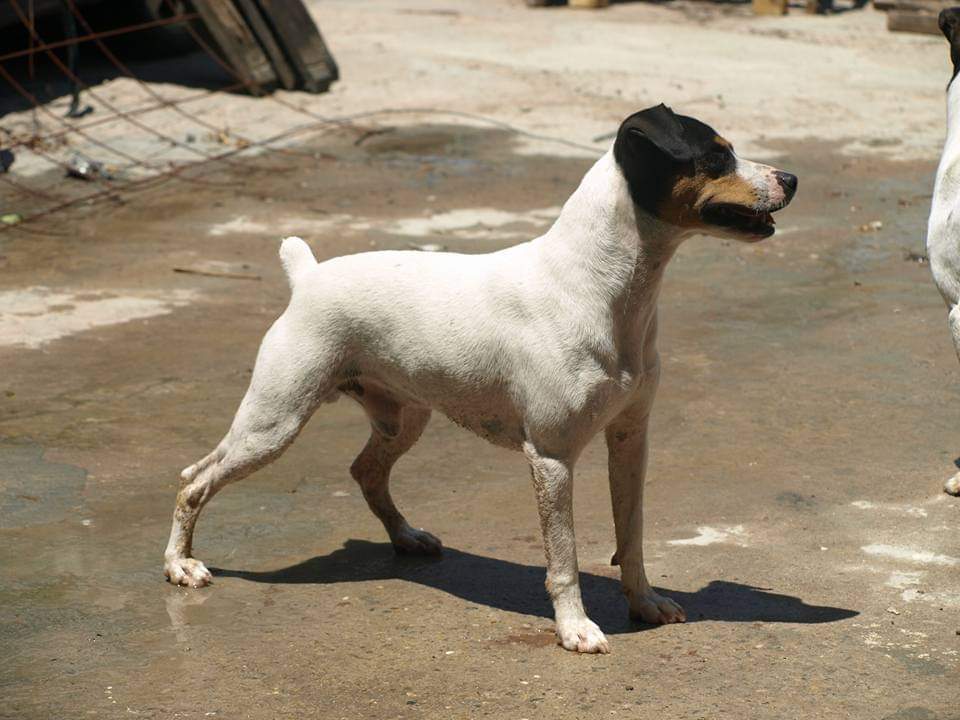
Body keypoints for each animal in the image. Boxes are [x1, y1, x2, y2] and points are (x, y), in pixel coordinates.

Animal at [163, 105, 796, 652]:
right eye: (715, 156)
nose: (791, 178)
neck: (595, 286)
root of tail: (308, 275)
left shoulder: (630, 439)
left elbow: (632, 535)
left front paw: (644, 603)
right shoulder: (552, 457)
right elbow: (564, 559)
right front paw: (575, 629)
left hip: (403, 417)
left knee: (365, 470)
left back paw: (407, 538)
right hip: (275, 421)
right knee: (195, 480)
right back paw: (181, 566)